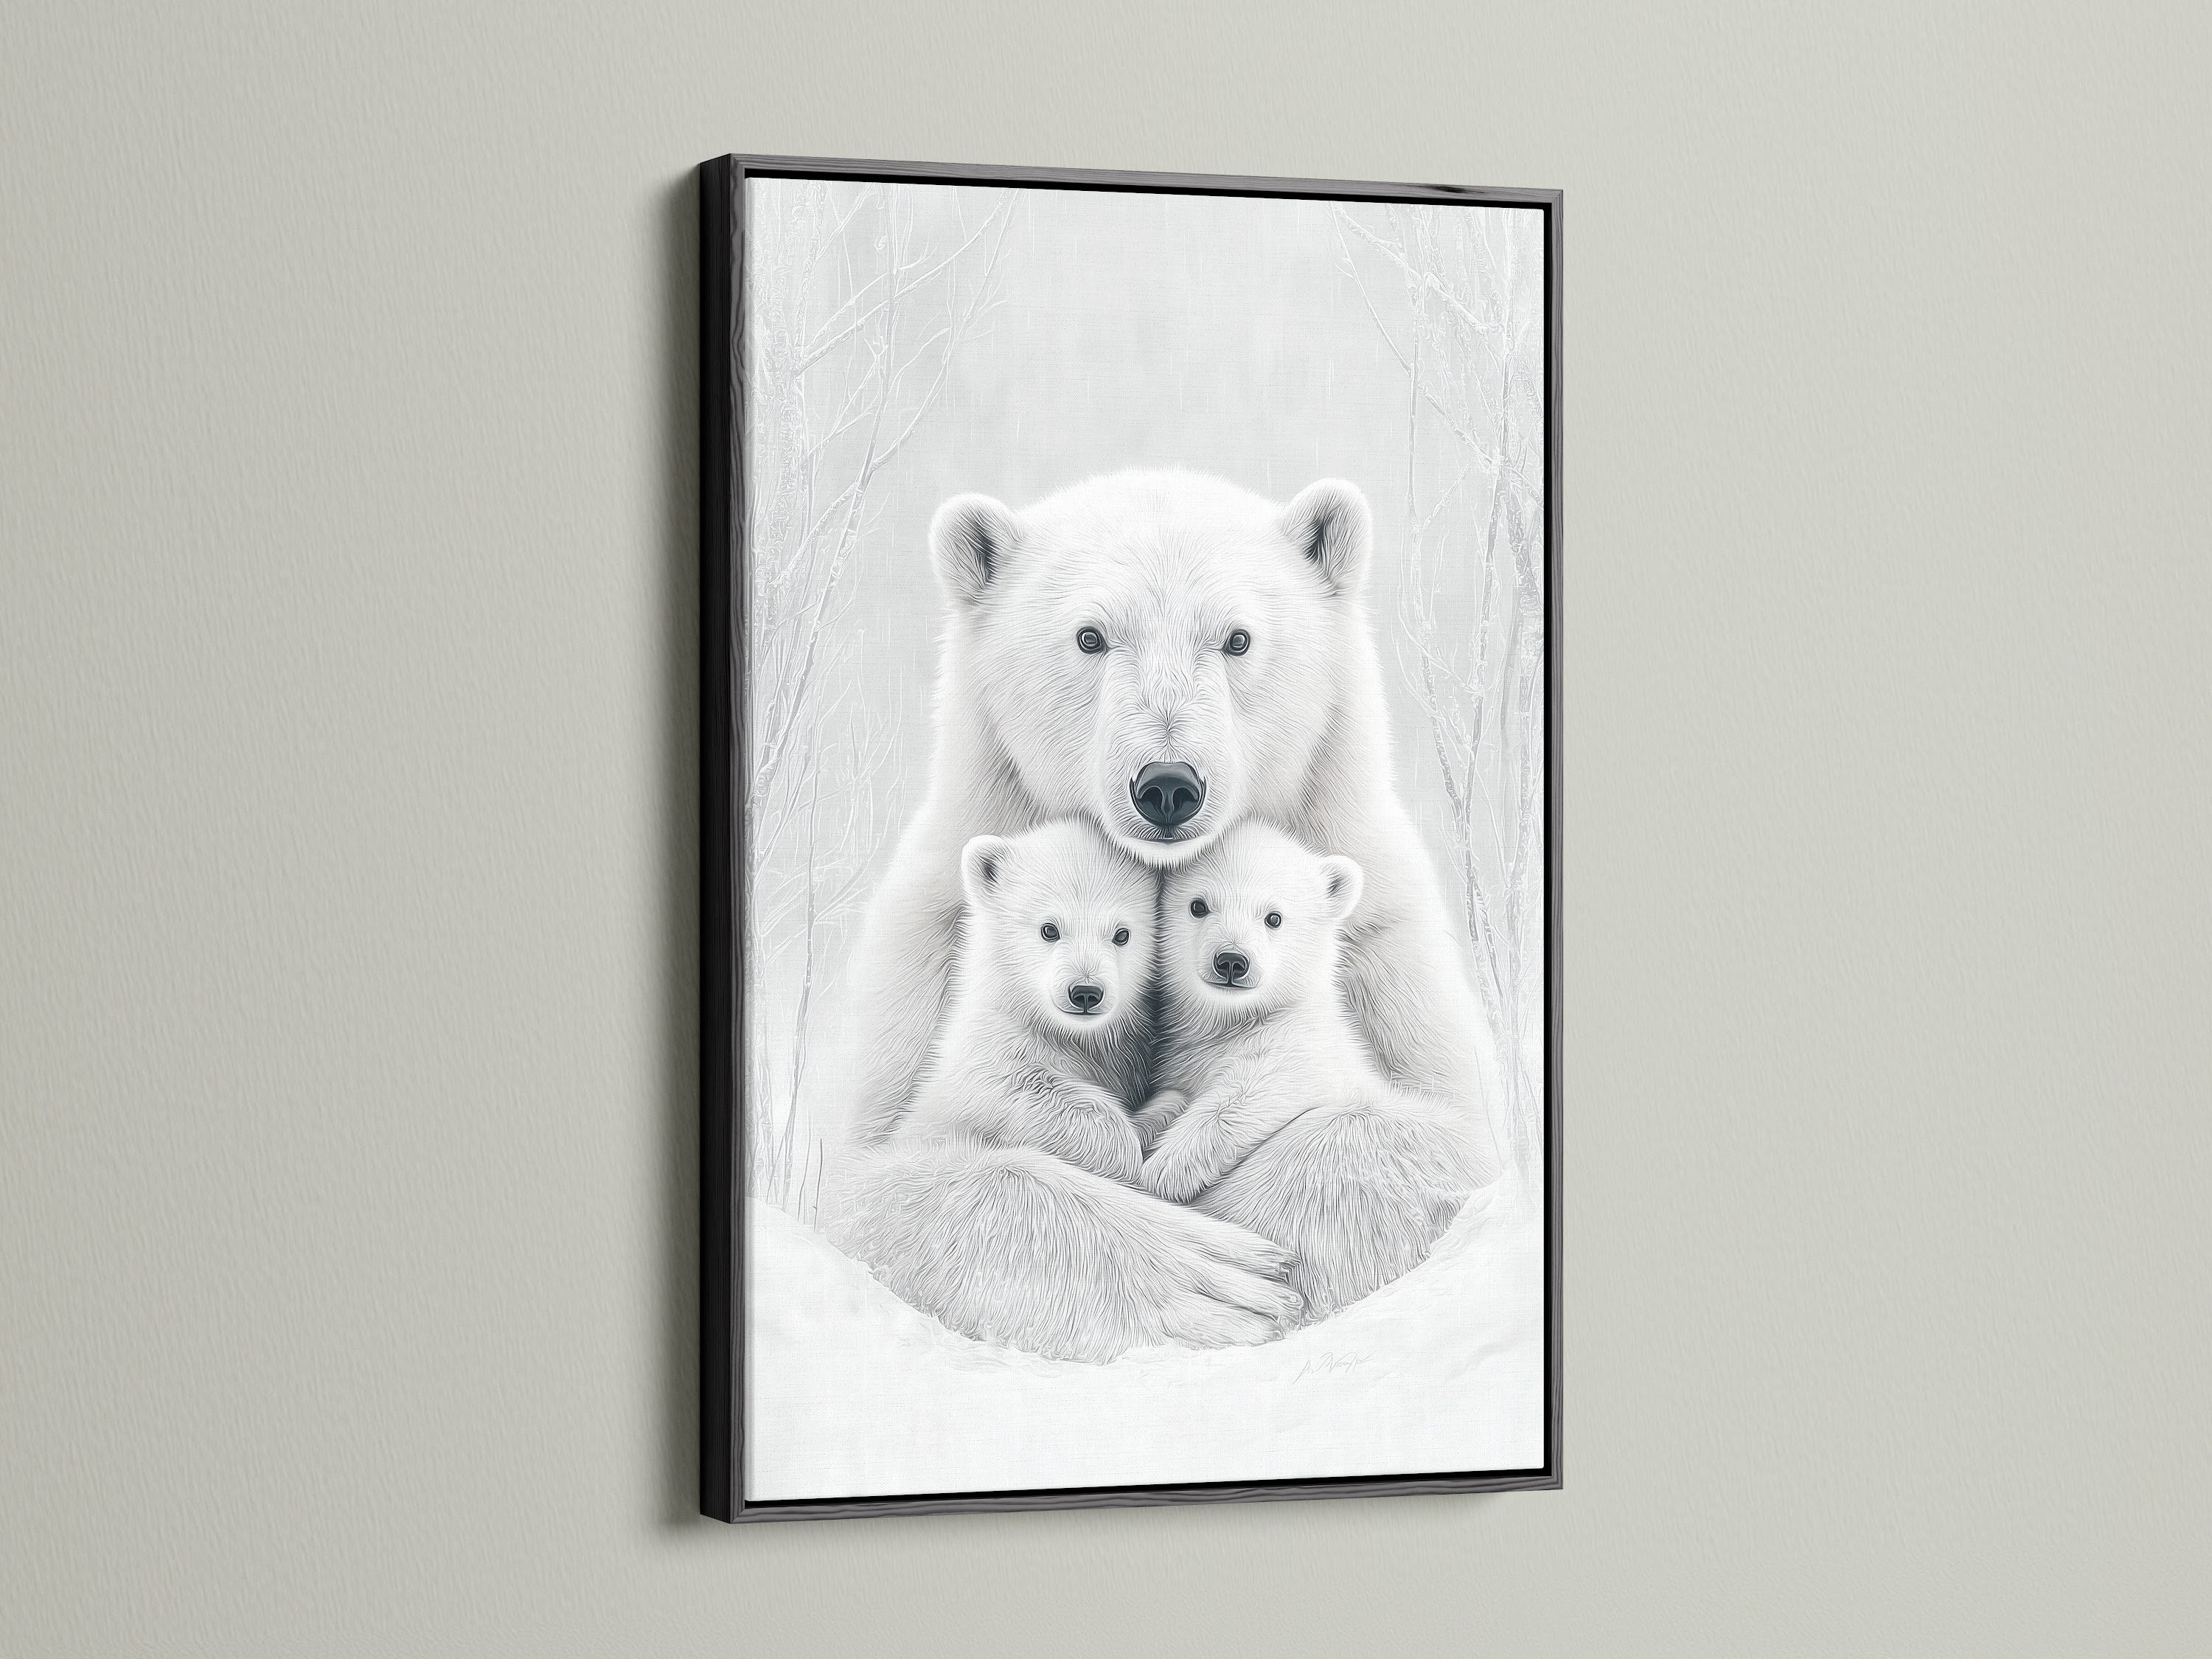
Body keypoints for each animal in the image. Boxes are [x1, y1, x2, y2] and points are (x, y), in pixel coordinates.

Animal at [900, 820, 1154, 1184]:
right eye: (1049, 929)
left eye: (1122, 934)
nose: (1086, 992)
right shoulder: (992, 1043)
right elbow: (1016, 1085)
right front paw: (1124, 1148)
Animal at [1138, 822, 1482, 1317]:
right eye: (1198, 905)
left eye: (1274, 917)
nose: (1231, 961)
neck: (1238, 1021)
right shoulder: (1186, 1058)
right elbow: (1173, 1096)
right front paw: (1146, 1128)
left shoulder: (1305, 1047)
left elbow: (1251, 1092)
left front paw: (1163, 1173)